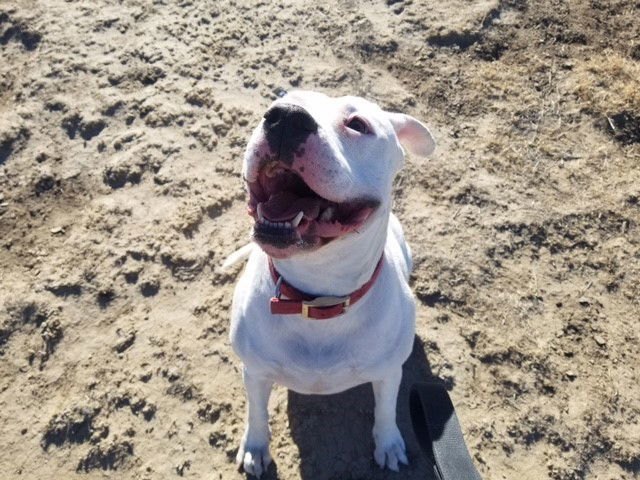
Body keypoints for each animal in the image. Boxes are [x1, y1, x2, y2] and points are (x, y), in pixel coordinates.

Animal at [226, 90, 436, 476]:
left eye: (358, 124)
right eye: (280, 99)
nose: (285, 117)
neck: (316, 296)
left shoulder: (388, 374)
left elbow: (386, 411)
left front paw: (389, 444)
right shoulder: (255, 371)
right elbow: (257, 412)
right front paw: (256, 447)